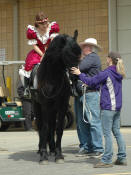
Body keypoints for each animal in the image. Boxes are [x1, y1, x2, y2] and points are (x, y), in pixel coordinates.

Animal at [32, 32, 81, 164]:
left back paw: (53, 149)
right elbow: (44, 128)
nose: (76, 77)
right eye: (67, 54)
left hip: (53, 109)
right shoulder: (45, 105)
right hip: (37, 106)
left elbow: (58, 129)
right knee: (41, 126)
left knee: (52, 126)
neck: (52, 78)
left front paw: (59, 155)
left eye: (79, 54)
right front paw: (43, 155)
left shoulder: (62, 105)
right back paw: (40, 149)